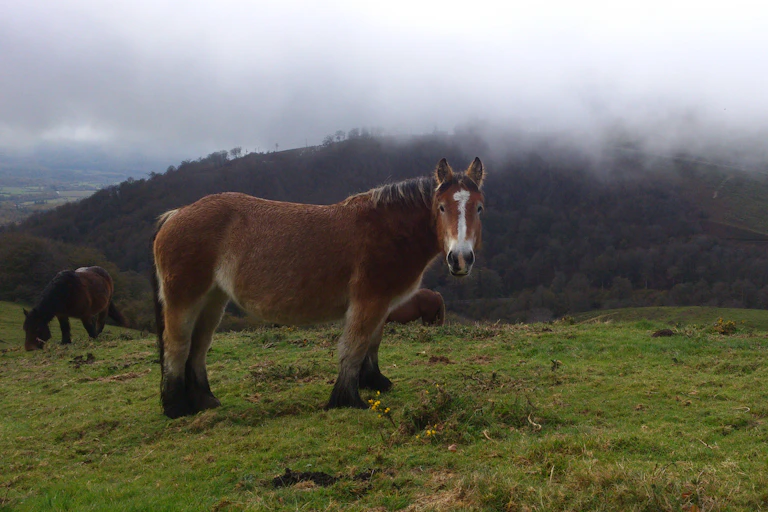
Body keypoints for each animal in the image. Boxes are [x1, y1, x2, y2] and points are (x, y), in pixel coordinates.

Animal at [152, 157, 485, 418]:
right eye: (441, 207)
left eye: (479, 208)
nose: (460, 259)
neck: (387, 229)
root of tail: (175, 214)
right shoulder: (368, 301)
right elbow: (354, 346)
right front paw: (347, 399)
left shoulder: (381, 305)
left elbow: (372, 344)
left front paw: (374, 382)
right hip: (185, 299)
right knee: (177, 345)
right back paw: (176, 406)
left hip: (212, 300)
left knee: (198, 346)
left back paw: (205, 400)